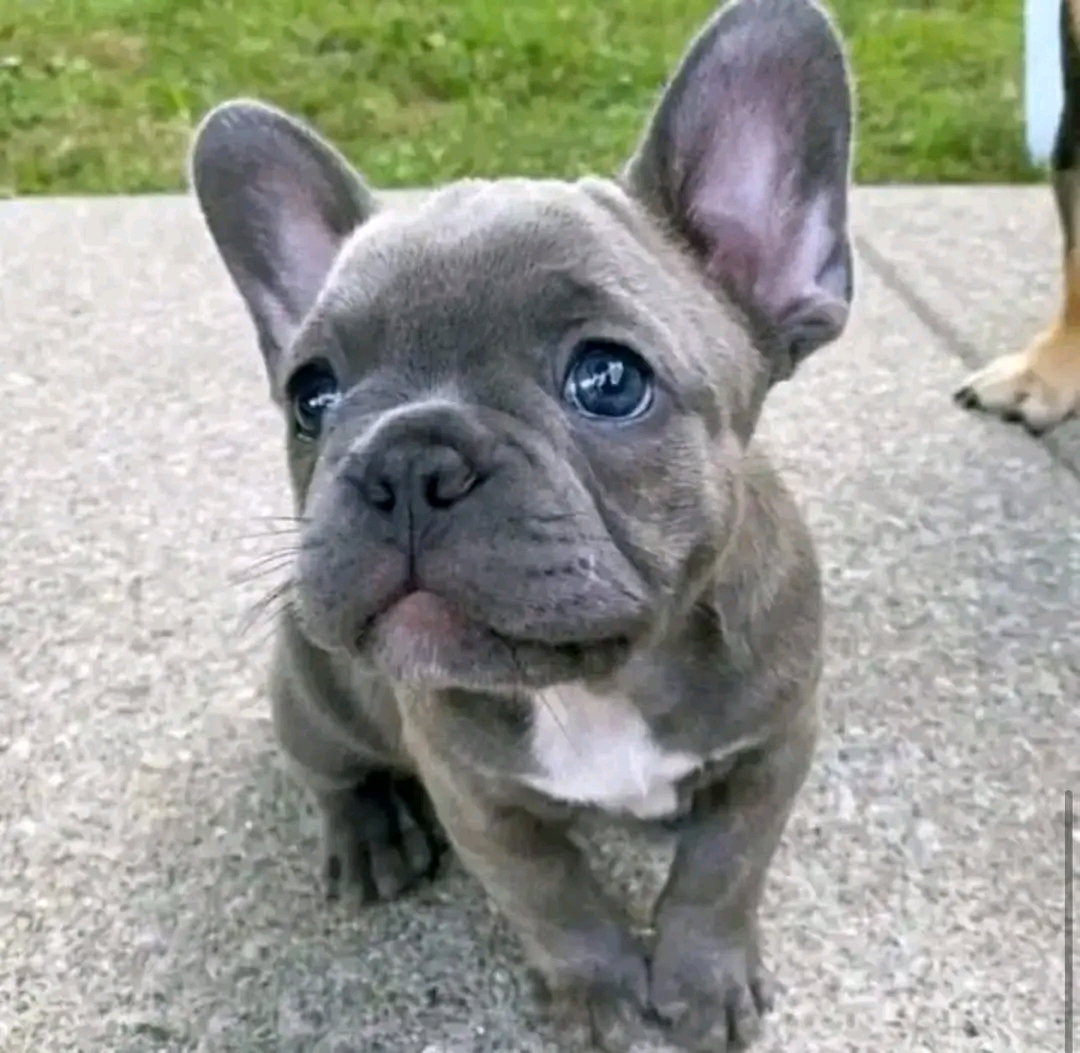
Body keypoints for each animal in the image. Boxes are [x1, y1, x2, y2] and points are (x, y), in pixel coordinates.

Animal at [189, 1, 854, 1049]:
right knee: (329, 770)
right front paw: (600, 992)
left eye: (610, 379)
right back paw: (368, 834)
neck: (600, 680)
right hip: (309, 691)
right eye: (311, 396)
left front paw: (700, 979)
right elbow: (553, 895)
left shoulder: (775, 744)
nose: (406, 458)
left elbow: (723, 867)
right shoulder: (474, 794)